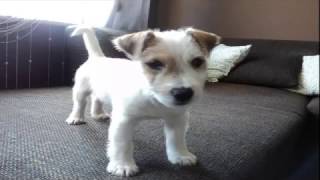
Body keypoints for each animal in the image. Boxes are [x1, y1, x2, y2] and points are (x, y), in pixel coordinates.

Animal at [66, 26, 221, 176]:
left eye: (197, 62)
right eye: (155, 64)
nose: (183, 93)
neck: (153, 97)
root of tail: (97, 57)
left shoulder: (177, 119)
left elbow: (176, 139)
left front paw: (180, 155)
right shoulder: (124, 121)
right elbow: (122, 144)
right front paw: (122, 165)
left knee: (97, 99)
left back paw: (98, 114)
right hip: (80, 90)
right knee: (79, 104)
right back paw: (76, 117)